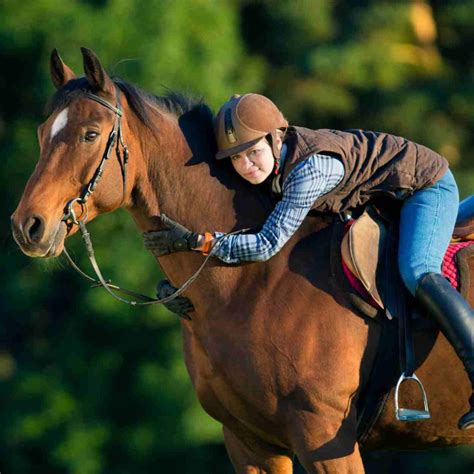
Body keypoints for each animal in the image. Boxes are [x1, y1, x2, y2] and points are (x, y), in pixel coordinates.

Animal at [11, 49, 474, 474]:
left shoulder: (324, 435)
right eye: (42, 132)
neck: (251, 284)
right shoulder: (250, 441)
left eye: (90, 134)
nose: (27, 226)